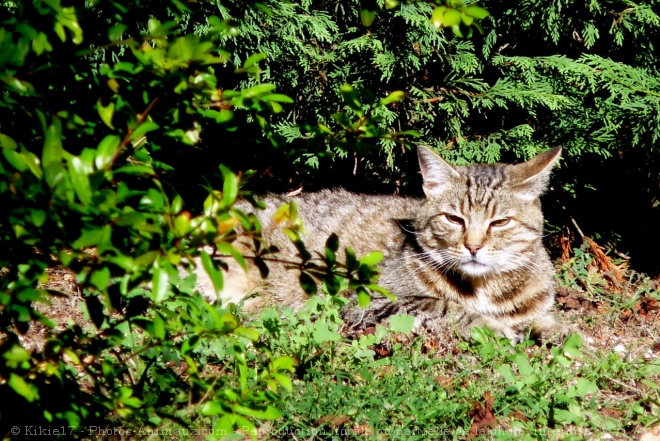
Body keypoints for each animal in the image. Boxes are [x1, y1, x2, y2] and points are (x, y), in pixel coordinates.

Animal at [192, 146, 568, 342]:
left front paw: (555, 330)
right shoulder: (365, 300)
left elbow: (544, 320)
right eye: (454, 219)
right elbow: (444, 306)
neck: (484, 288)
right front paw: (491, 327)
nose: (473, 246)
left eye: (500, 222)